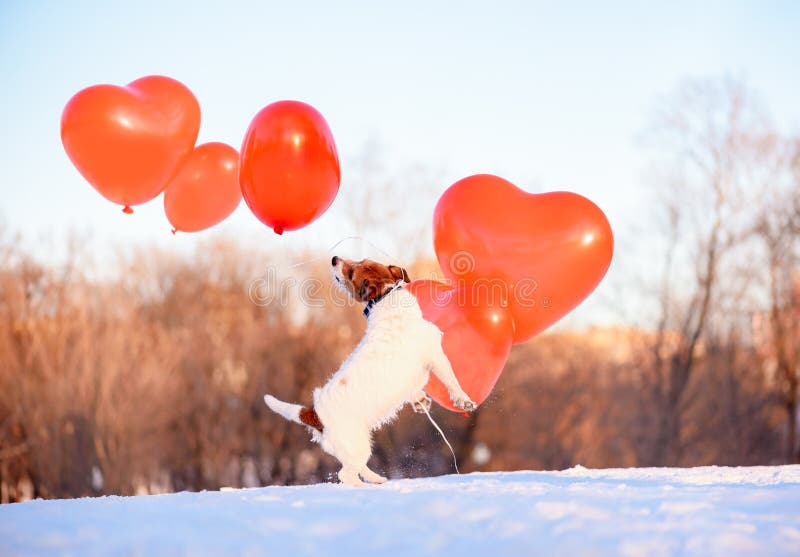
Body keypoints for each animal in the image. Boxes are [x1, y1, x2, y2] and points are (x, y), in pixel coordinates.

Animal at [262, 256, 476, 486]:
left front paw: (420, 402)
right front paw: (464, 401)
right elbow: (452, 382)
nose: (334, 259)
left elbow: (414, 392)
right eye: (351, 272)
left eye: (358, 263)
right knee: (345, 474)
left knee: (356, 468)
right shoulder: (436, 356)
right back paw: (362, 486)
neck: (385, 297)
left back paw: (377, 479)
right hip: (357, 446)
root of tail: (314, 412)